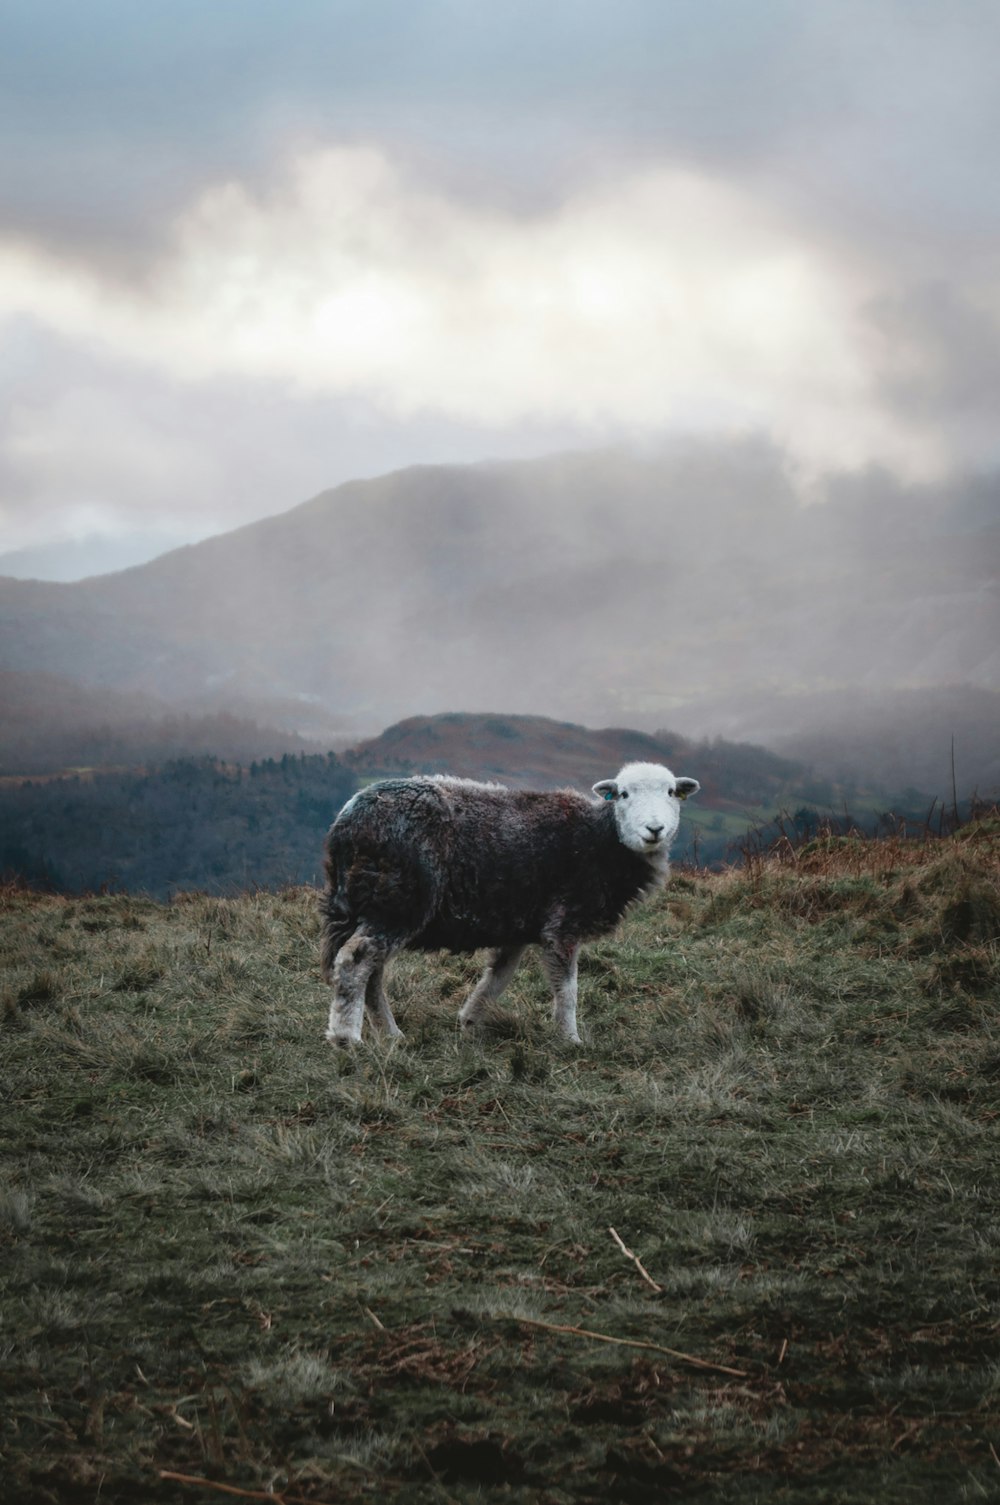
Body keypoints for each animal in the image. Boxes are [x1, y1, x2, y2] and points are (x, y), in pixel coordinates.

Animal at [317, 758, 695, 1041]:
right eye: (623, 795)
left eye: (671, 792)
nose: (655, 829)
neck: (602, 840)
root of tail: (347, 821)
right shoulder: (563, 923)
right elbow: (567, 990)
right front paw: (570, 1039)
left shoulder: (520, 924)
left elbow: (498, 977)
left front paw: (469, 1020)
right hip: (399, 902)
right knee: (357, 961)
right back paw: (347, 1038)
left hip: (372, 906)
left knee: (373, 970)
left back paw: (389, 1035)